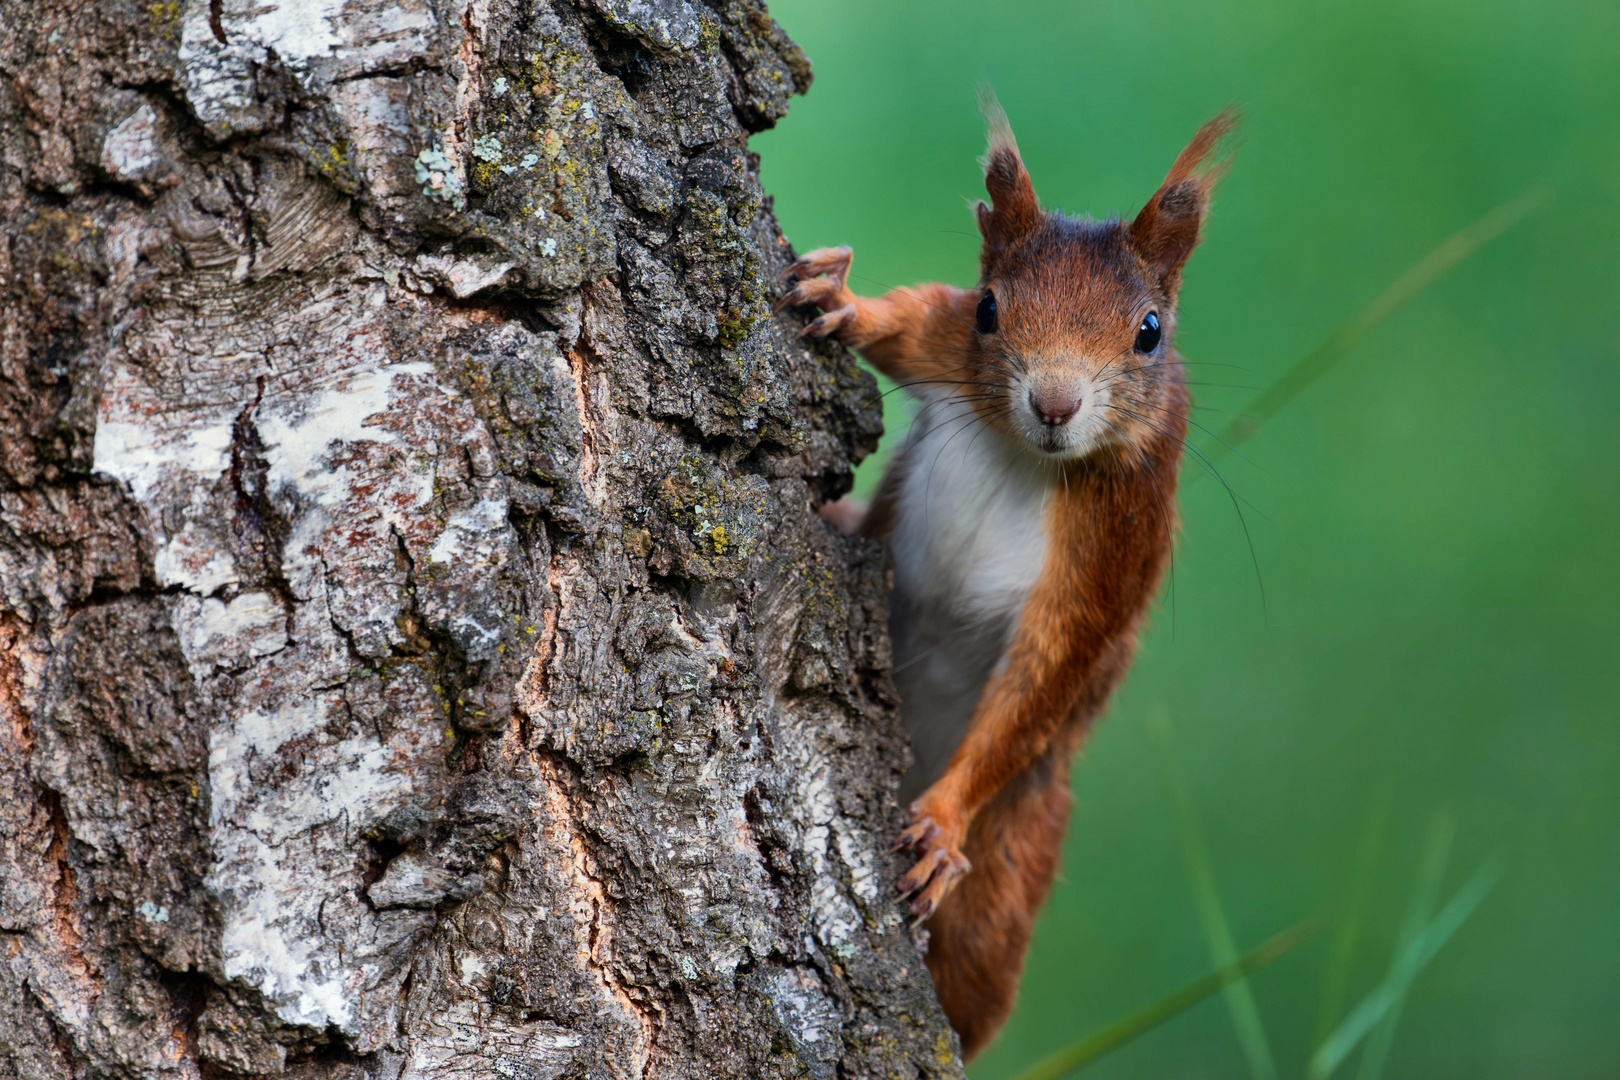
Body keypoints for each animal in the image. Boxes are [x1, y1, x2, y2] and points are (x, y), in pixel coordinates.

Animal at [777, 105, 1231, 1062]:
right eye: (992, 308)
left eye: (1150, 331)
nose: (1054, 405)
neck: (1028, 455)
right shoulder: (946, 342)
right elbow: (909, 320)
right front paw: (841, 299)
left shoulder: (1119, 539)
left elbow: (1046, 676)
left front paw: (944, 822)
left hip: (1018, 853)